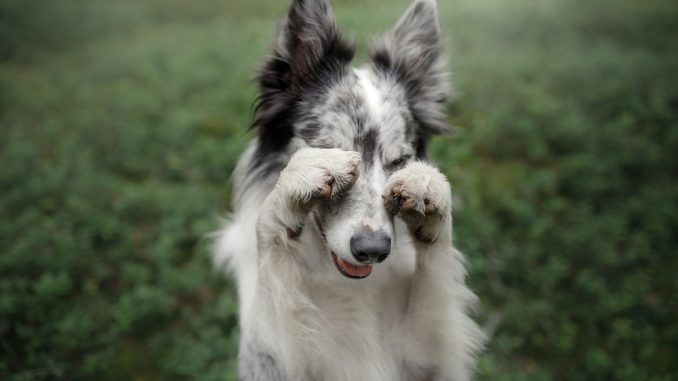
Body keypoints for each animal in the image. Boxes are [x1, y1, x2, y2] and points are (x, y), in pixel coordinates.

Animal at [215, 0, 486, 378]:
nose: (372, 250)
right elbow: (270, 248)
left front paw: (429, 189)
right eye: (331, 152)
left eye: (400, 161)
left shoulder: (429, 357)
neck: (349, 282)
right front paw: (298, 177)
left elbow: (439, 281)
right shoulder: (272, 359)